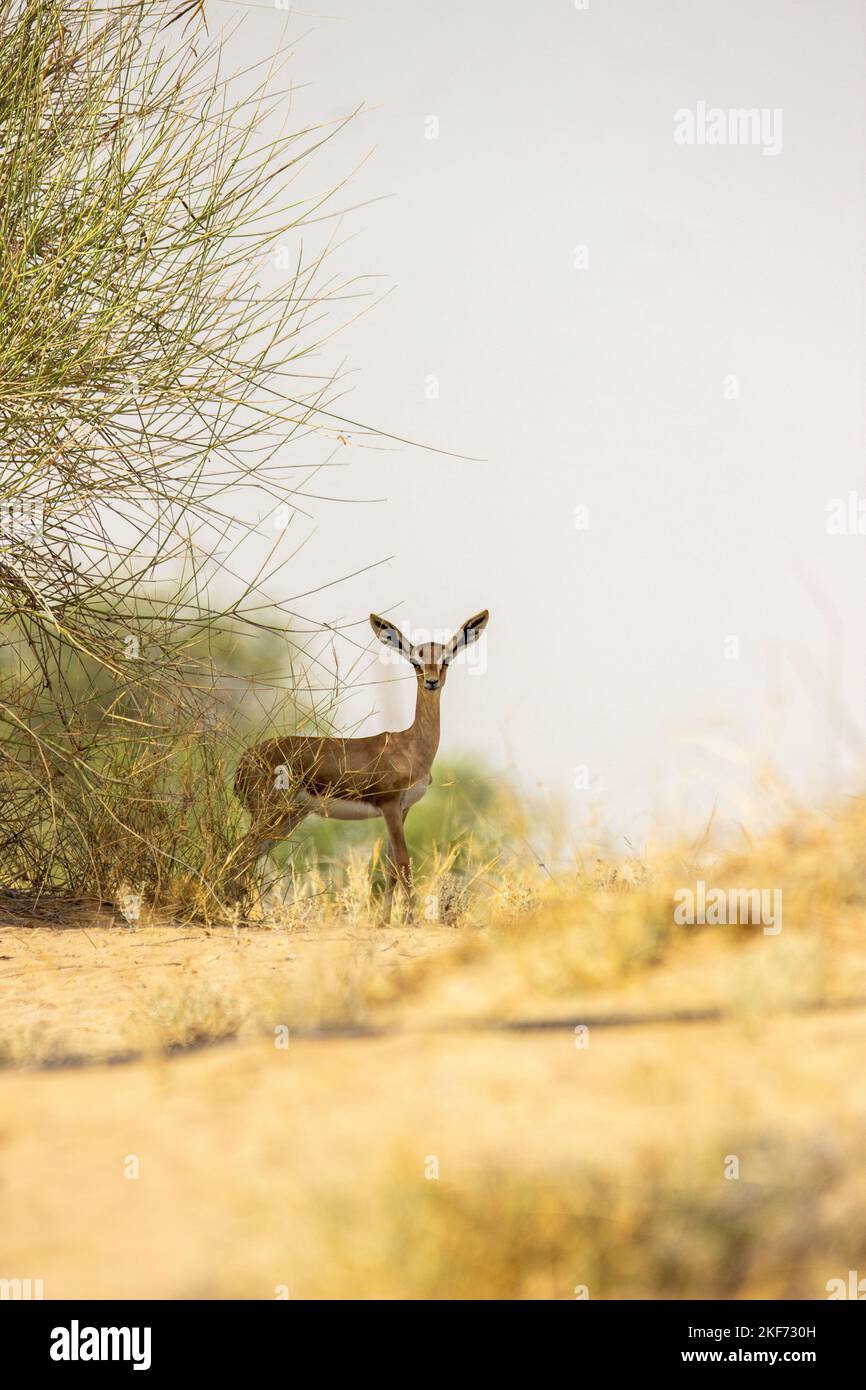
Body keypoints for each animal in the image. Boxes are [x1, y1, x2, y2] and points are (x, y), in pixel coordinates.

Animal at [229, 609, 489, 921]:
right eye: (415, 661)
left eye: (445, 659)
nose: (430, 681)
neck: (411, 745)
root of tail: (243, 761)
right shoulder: (389, 804)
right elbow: (404, 863)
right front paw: (410, 920)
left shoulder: (403, 808)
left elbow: (390, 867)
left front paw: (385, 921)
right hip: (271, 814)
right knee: (238, 854)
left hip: (288, 819)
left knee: (248, 856)